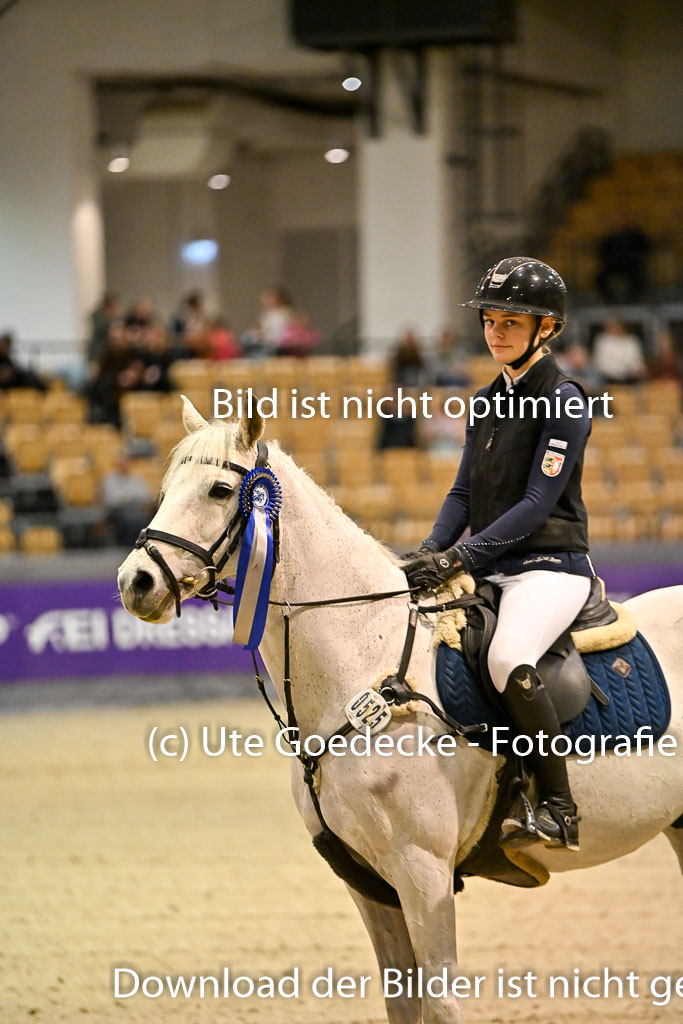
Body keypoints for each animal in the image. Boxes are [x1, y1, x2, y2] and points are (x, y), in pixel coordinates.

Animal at [117, 397, 683, 1024]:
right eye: (167, 486)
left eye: (219, 490)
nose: (135, 581)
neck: (368, 660)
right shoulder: (370, 882)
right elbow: (402, 1003)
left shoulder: (422, 872)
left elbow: (439, 1004)